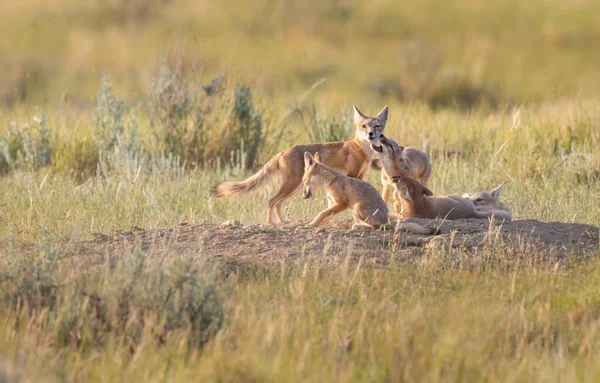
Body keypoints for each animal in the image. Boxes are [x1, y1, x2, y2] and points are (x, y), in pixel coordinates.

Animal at [211, 105, 390, 225]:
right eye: (363, 126)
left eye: (377, 126)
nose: (370, 134)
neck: (360, 149)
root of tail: (282, 151)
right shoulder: (352, 175)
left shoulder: (360, 175)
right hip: (293, 185)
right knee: (271, 201)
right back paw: (270, 223)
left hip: (295, 187)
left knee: (277, 203)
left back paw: (282, 222)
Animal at [302, 152, 434, 236]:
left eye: (304, 180)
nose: (303, 196)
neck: (330, 181)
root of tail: (386, 220)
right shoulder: (332, 203)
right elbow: (325, 216)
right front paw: (316, 224)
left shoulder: (341, 204)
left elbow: (322, 213)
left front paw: (311, 224)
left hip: (356, 207)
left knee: (375, 227)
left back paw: (358, 227)